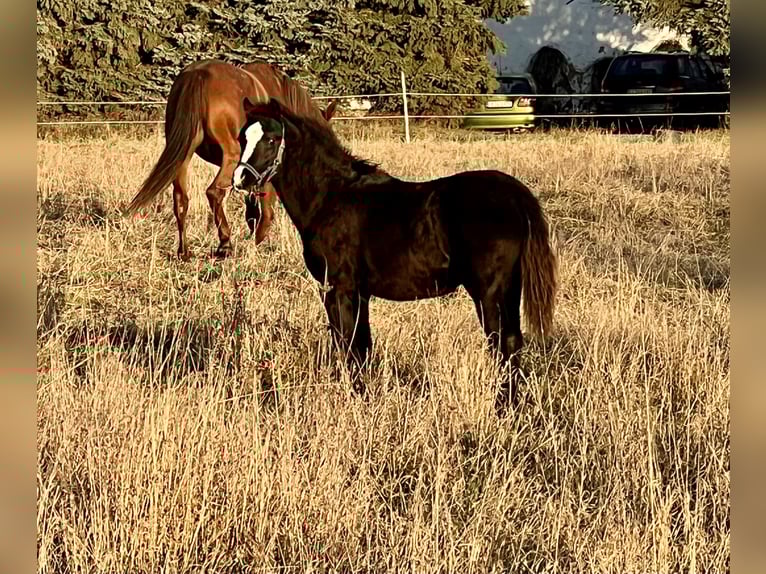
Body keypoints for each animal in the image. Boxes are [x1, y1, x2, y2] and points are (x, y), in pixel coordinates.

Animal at [124, 59, 338, 260]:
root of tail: (198, 75)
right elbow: (266, 209)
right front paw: (257, 240)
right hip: (230, 156)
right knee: (214, 192)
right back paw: (225, 243)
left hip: (183, 155)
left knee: (181, 199)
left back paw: (184, 251)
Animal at [234, 96, 558, 411]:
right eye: (242, 137)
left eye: (272, 139)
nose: (241, 179)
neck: (330, 198)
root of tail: (515, 194)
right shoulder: (359, 292)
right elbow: (362, 345)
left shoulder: (338, 288)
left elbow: (348, 343)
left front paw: (357, 399)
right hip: (509, 288)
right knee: (512, 342)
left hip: (489, 291)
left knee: (501, 344)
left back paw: (503, 408)